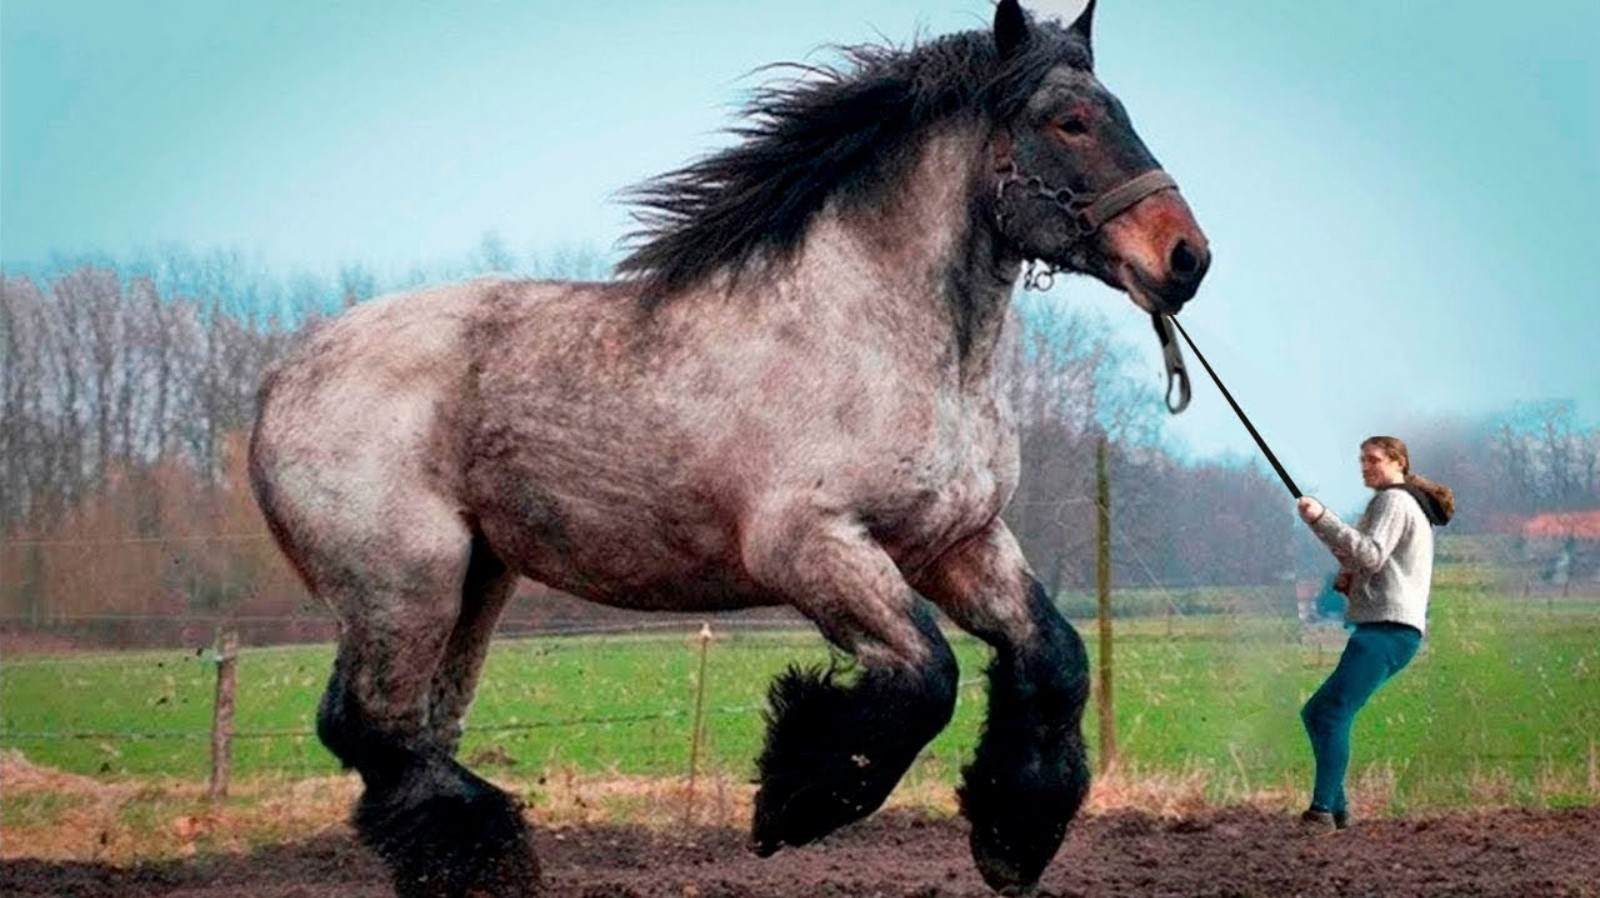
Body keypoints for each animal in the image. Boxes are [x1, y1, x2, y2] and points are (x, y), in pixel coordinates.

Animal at [249, 1, 1203, 889]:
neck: (878, 336)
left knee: (414, 731)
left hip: (476, 581)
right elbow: (926, 675)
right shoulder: (809, 545)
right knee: (369, 726)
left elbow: (1055, 657)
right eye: (1068, 121)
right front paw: (793, 801)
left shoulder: (957, 541)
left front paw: (1012, 838)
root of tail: (284, 379)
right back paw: (494, 852)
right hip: (404, 582)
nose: (1186, 258)